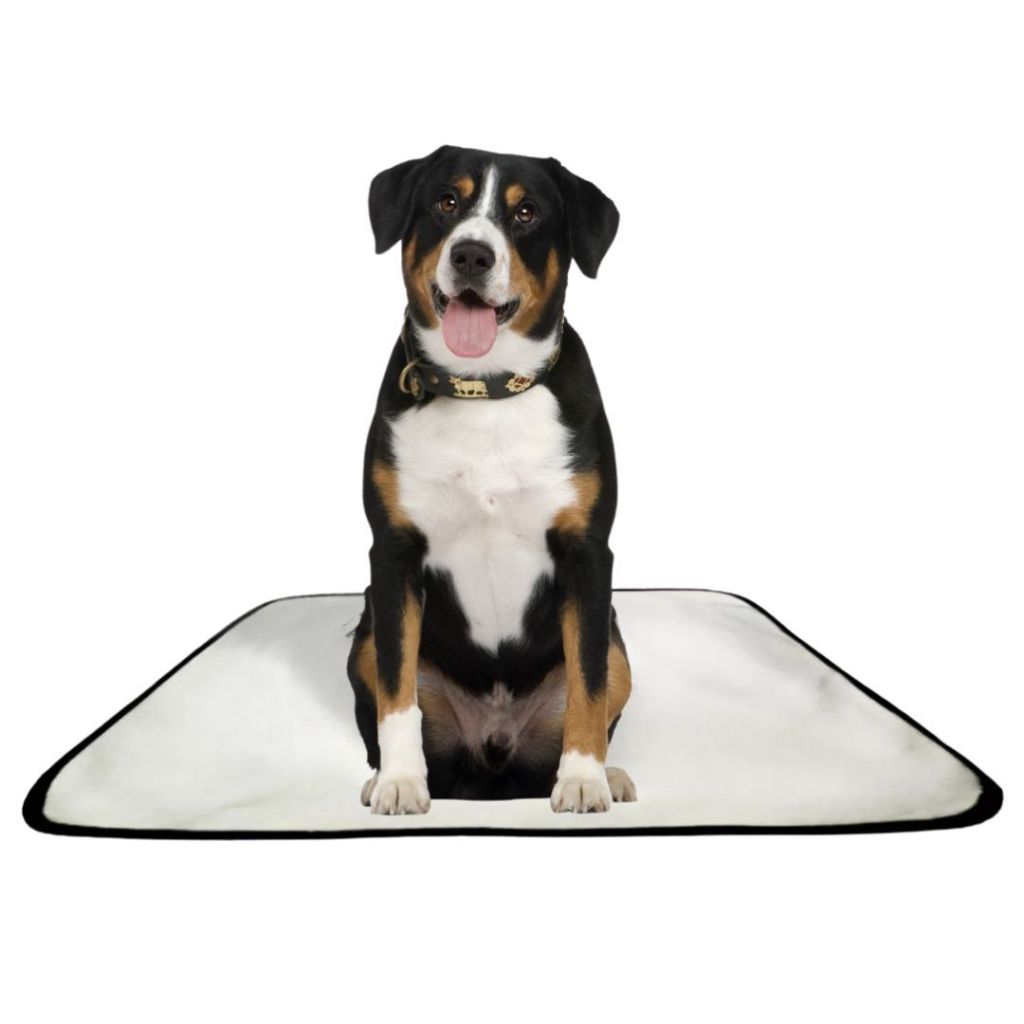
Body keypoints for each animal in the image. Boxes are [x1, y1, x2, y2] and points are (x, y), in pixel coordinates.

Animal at [347, 145, 636, 814]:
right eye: (446, 201)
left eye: (526, 212)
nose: (472, 255)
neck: (485, 392)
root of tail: (494, 744)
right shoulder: (394, 555)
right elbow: (396, 696)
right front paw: (402, 782)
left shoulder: (587, 554)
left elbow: (587, 684)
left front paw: (583, 781)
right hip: (366, 630)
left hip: (618, 642)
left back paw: (608, 774)